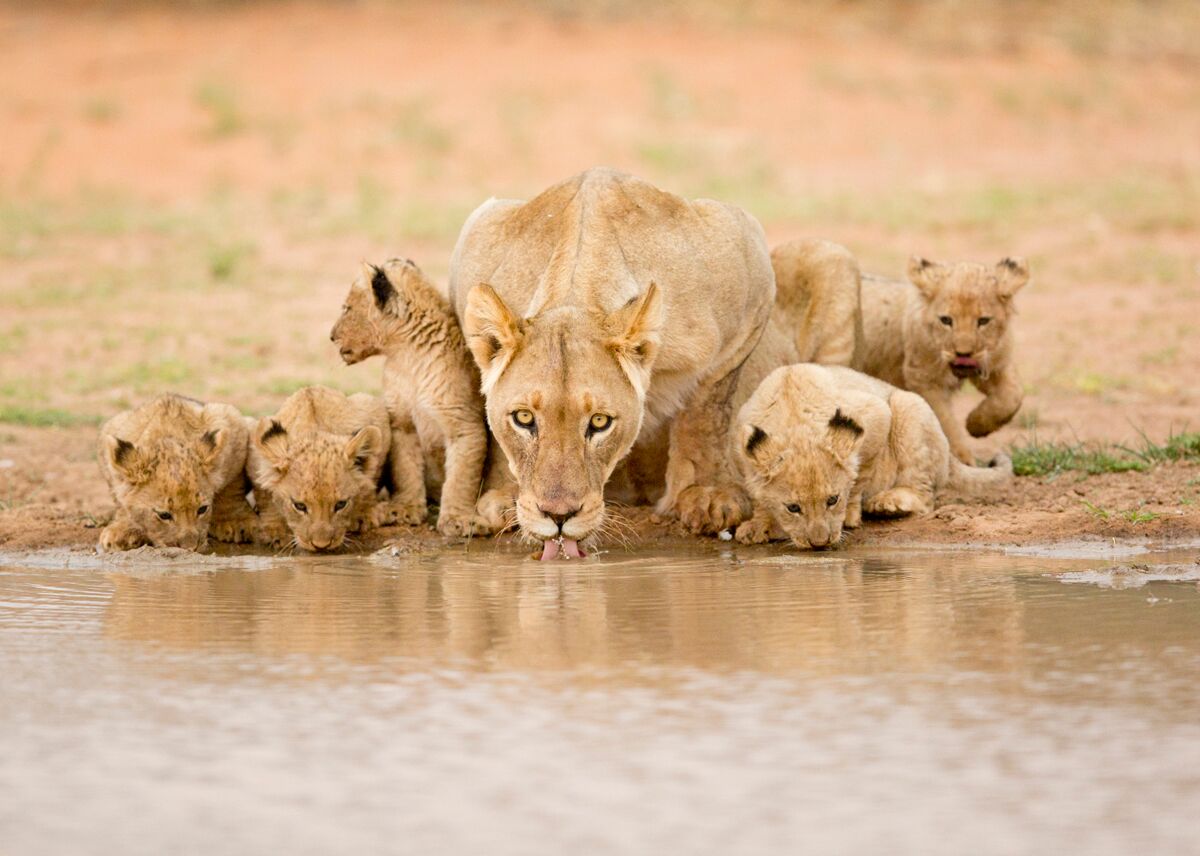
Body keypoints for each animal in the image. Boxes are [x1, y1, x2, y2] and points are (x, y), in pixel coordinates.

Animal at [451, 168, 777, 557]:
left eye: (600, 422)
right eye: (524, 418)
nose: (558, 516)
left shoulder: (749, 276)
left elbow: (707, 412)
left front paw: (706, 495)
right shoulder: (476, 235)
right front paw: (504, 496)